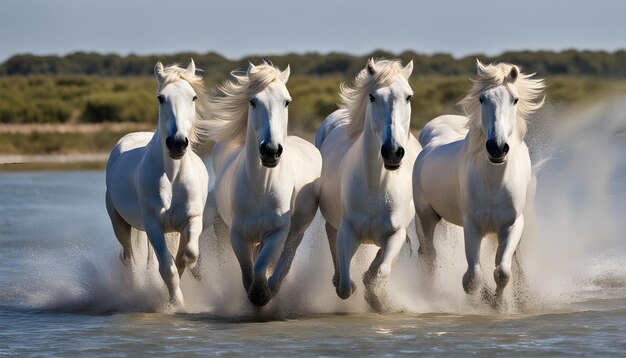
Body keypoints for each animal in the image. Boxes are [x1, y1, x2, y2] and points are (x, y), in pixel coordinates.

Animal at [103, 60, 208, 306]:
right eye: (161, 98)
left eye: (193, 97)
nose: (177, 143)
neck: (173, 178)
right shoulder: (153, 225)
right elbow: (167, 269)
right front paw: (176, 304)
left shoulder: (192, 220)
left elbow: (186, 256)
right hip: (120, 224)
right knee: (129, 258)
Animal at [197, 62, 320, 308]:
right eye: (253, 101)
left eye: (287, 101)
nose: (270, 151)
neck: (262, 187)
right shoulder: (238, 235)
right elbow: (247, 270)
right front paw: (254, 296)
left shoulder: (276, 233)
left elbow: (262, 266)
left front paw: (263, 295)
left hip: (297, 230)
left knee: (287, 257)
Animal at [314, 57, 422, 310]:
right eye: (373, 97)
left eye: (409, 97)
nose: (392, 152)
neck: (376, 186)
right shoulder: (348, 231)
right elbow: (345, 286)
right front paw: (353, 286)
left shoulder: (396, 233)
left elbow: (381, 272)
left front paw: (377, 297)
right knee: (331, 235)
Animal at [412, 60, 544, 298]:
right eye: (482, 99)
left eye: (515, 99)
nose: (497, 148)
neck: (494, 183)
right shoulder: (471, 226)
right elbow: (472, 279)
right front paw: (483, 299)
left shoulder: (511, 226)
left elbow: (503, 271)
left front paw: (500, 301)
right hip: (426, 215)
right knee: (428, 254)